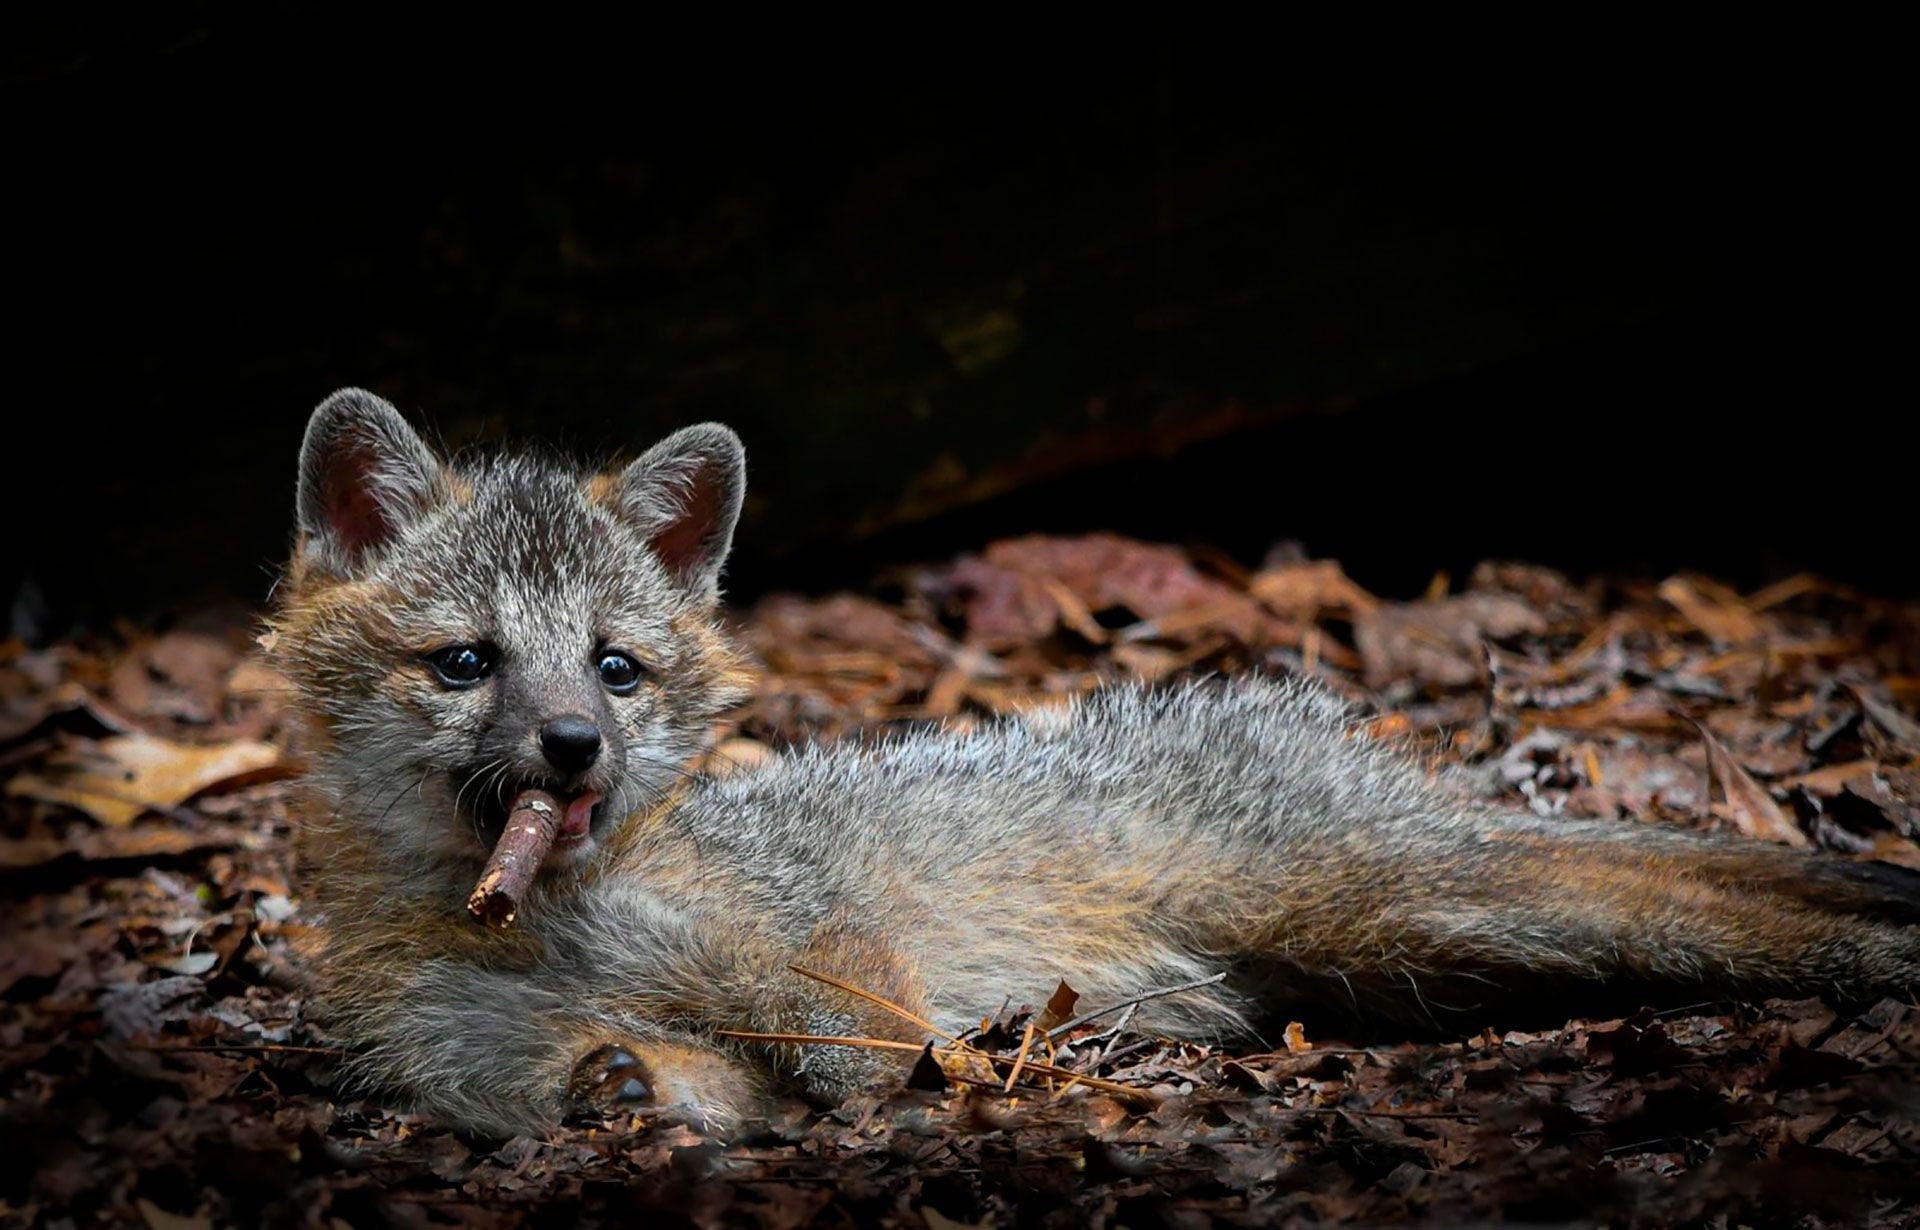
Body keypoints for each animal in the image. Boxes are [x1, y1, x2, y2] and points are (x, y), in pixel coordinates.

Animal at [270, 387, 1920, 1135]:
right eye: (468, 662)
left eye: (615, 666)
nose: (573, 742)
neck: (555, 923)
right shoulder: (505, 1061)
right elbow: (640, 1079)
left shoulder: (825, 954)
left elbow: (862, 1044)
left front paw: (921, 1087)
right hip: (1394, 947)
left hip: (1411, 902)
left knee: (1715, 900)